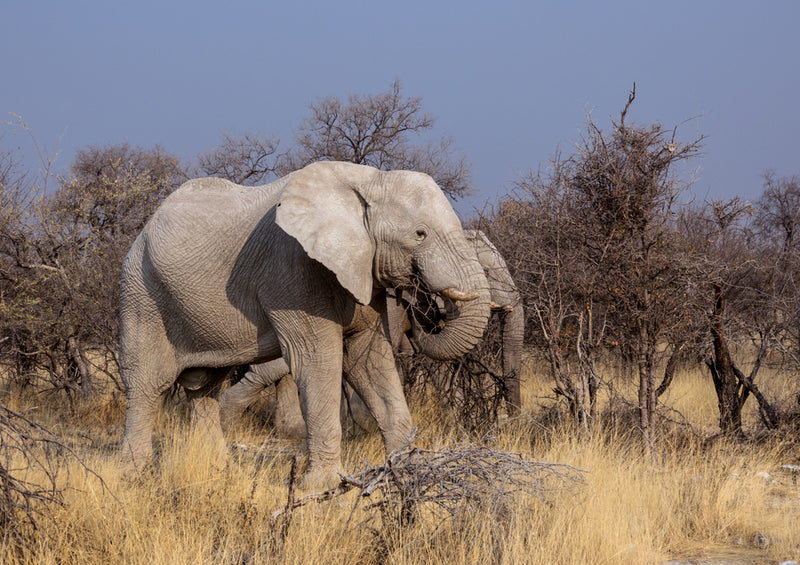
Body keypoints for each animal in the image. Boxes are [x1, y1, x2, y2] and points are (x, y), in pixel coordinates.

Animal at [216, 228, 524, 436]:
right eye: (488, 272)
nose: (512, 422)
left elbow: (439, 365)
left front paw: (454, 422)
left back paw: (289, 430)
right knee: (271, 369)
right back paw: (227, 420)